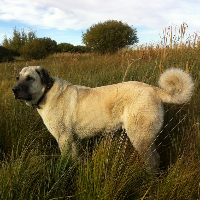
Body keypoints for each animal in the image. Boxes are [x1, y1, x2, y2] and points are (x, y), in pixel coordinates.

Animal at [12, 66, 194, 170]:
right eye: (17, 77)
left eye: (30, 78)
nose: (14, 90)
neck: (46, 92)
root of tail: (154, 90)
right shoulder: (72, 139)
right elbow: (74, 158)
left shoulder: (63, 138)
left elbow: (64, 159)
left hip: (140, 136)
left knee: (153, 161)